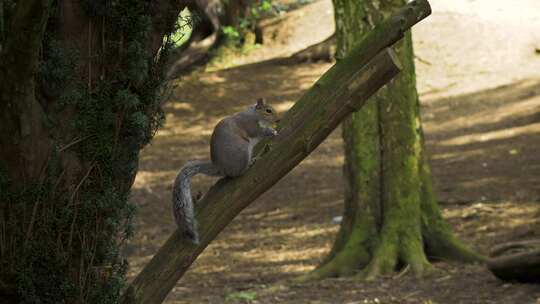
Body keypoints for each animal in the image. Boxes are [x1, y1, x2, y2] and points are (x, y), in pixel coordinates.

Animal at [173, 98, 280, 243]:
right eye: (268, 110)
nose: (278, 120)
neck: (254, 114)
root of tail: (220, 167)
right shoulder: (250, 125)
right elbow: (258, 132)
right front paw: (271, 131)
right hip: (242, 150)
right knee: (238, 173)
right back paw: (251, 163)